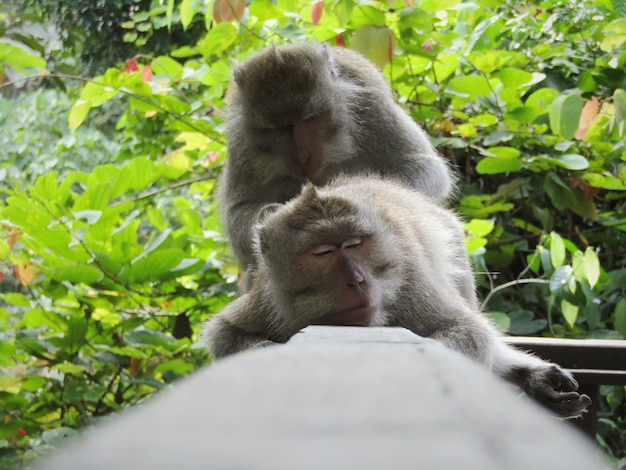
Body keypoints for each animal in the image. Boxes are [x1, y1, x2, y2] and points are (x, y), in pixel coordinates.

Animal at [204, 173, 588, 418]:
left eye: (355, 244)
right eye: (323, 252)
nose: (356, 280)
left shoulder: (410, 280)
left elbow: (466, 331)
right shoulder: (272, 295)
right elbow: (224, 332)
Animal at [217, 42, 450, 274]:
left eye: (309, 119)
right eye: (279, 129)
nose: (302, 158)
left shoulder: (371, 105)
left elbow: (422, 165)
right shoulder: (240, 140)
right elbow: (239, 212)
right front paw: (272, 213)